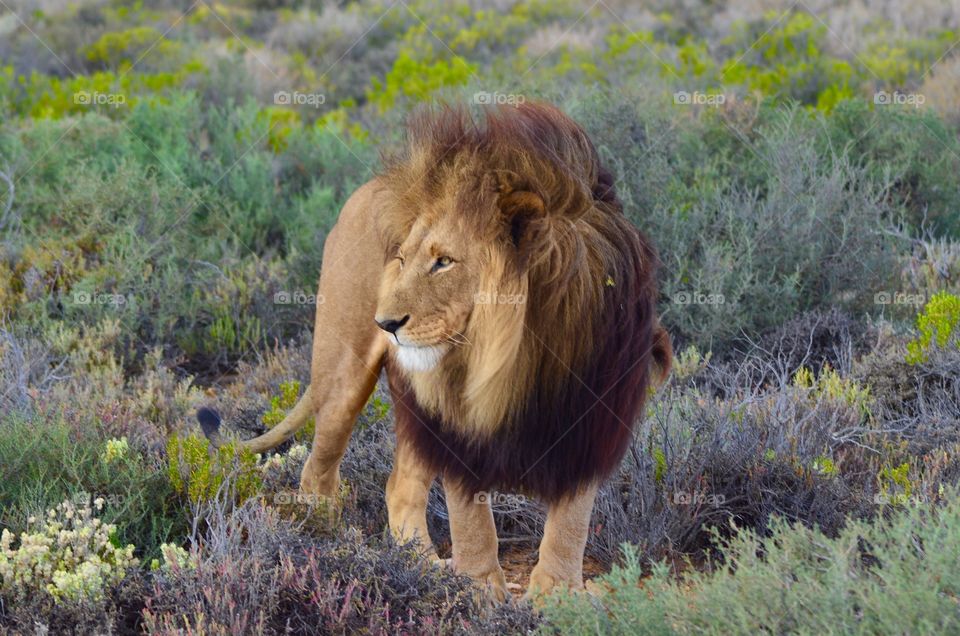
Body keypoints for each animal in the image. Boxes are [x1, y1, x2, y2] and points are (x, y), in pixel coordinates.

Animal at [199, 102, 672, 600]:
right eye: (402, 259)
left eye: (444, 261)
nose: (385, 323)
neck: (523, 351)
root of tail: (361, 190)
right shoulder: (454, 423)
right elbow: (471, 521)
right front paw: (481, 593)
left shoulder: (592, 421)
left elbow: (570, 522)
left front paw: (557, 595)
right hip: (344, 372)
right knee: (318, 465)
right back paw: (327, 543)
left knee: (400, 487)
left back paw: (419, 564)